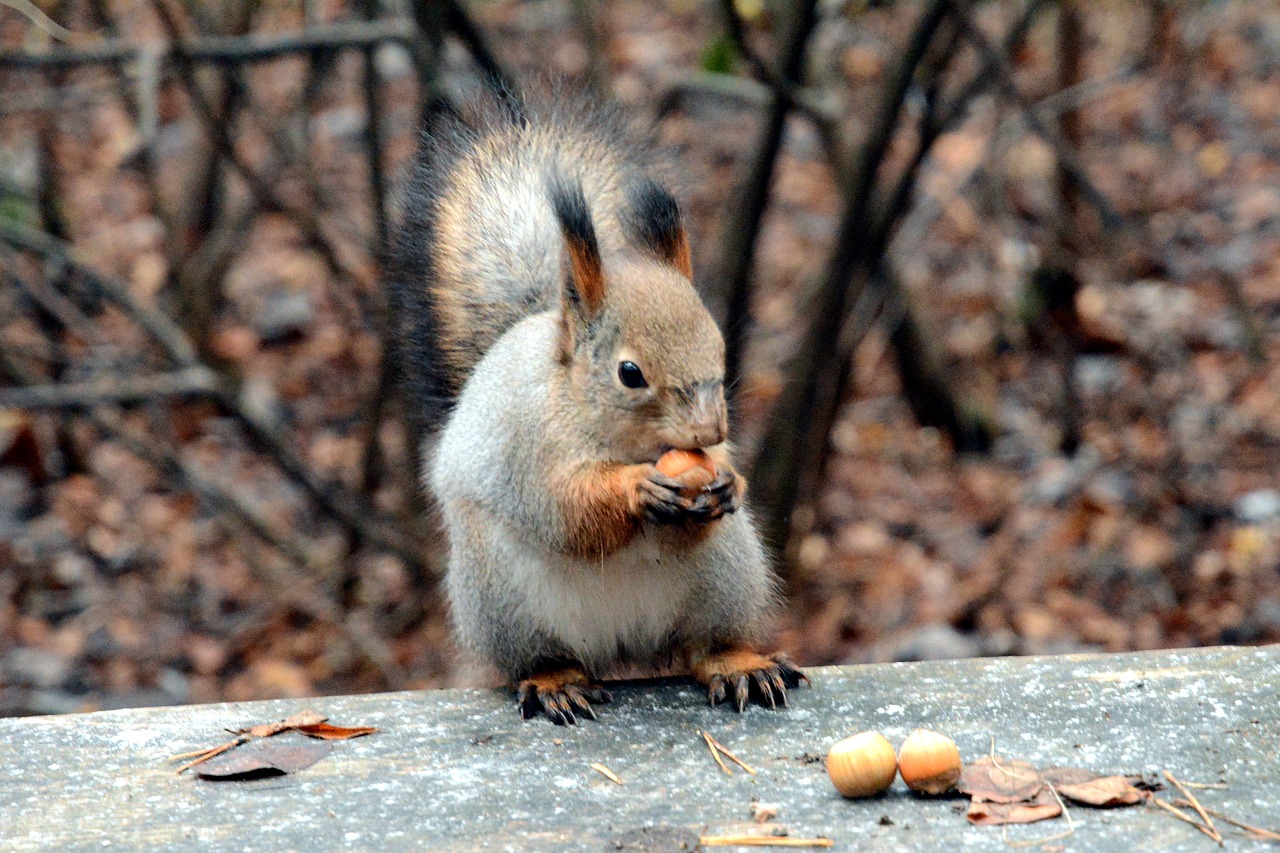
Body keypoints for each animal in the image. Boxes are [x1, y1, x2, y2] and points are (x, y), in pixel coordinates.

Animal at [384, 86, 803, 722]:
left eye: (720, 347)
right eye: (630, 374)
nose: (708, 434)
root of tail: (622, 643)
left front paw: (730, 482)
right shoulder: (526, 448)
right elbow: (565, 511)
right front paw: (637, 490)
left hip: (727, 573)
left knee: (703, 643)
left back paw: (738, 664)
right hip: (501, 595)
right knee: (541, 653)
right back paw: (555, 679)